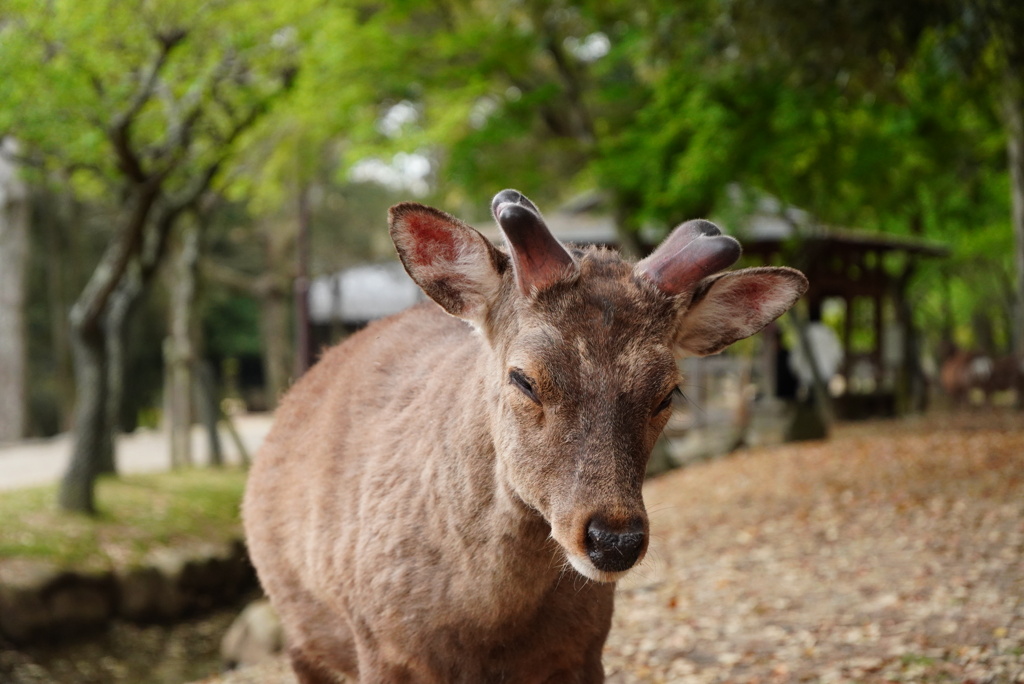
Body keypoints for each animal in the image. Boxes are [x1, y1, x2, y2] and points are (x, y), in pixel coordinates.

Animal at [241, 188, 806, 684]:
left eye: (669, 391)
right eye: (523, 378)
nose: (614, 541)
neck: (484, 633)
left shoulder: (584, 653)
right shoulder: (382, 649)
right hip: (302, 637)